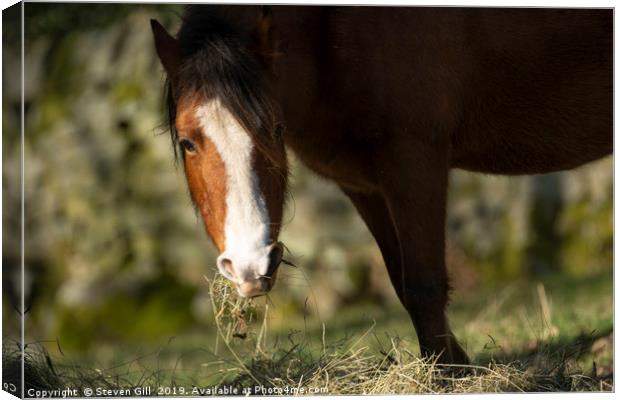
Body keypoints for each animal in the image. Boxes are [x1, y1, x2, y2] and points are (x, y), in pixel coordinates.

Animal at [149, 3, 612, 366]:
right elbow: (402, 283)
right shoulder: (365, 186)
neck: (332, 30)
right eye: (188, 142)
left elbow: (424, 283)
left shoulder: (414, 161)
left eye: (275, 130)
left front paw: (448, 375)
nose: (250, 267)